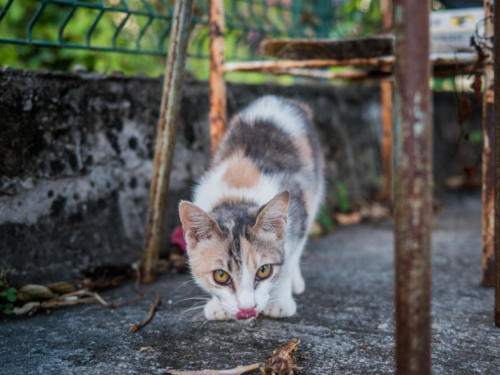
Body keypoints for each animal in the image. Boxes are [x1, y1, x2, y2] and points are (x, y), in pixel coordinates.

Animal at [179, 95, 324, 322]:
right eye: (221, 275)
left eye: (264, 271)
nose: (247, 308)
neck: (236, 196)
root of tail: (279, 98)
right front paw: (217, 305)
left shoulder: (298, 209)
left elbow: (289, 257)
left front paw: (279, 301)